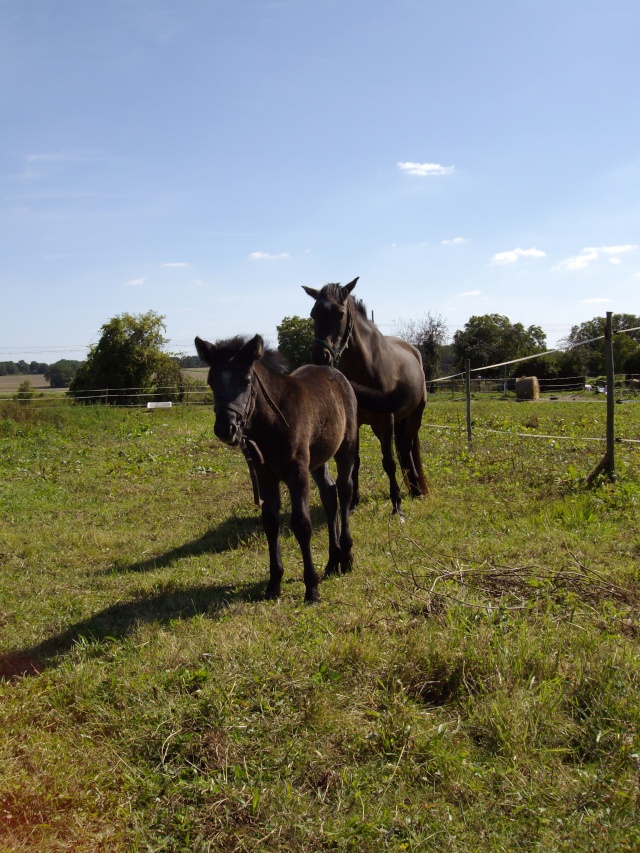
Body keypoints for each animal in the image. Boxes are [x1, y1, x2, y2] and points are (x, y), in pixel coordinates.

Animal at [195, 330, 358, 604]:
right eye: (211, 381)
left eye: (246, 381)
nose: (226, 428)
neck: (273, 421)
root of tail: (337, 375)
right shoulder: (265, 475)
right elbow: (271, 523)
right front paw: (273, 584)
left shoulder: (297, 472)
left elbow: (302, 524)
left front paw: (311, 588)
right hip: (318, 460)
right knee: (329, 494)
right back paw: (332, 560)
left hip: (345, 448)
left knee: (345, 490)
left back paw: (345, 557)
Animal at [302, 278, 428, 512]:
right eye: (313, 313)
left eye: (340, 313)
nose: (320, 356)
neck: (366, 366)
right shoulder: (357, 421)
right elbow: (356, 461)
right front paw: (353, 502)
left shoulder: (386, 419)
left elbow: (389, 462)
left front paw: (396, 505)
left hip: (414, 415)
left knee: (407, 447)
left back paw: (416, 488)